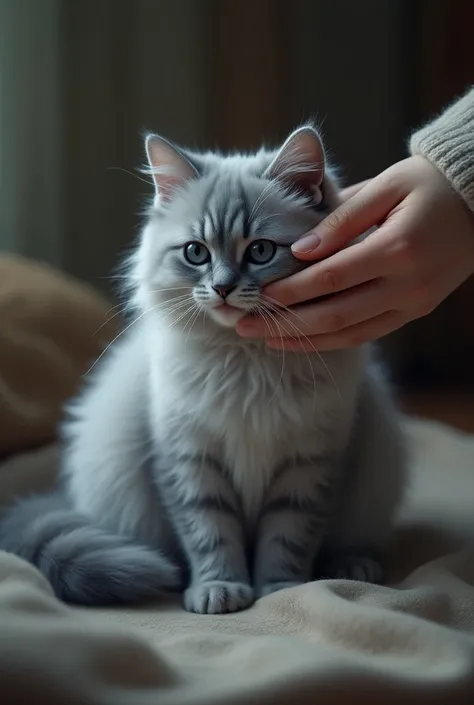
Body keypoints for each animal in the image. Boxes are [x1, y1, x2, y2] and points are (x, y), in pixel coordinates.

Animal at [0, 125, 408, 612]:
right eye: (196, 253)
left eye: (260, 251)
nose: (223, 288)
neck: (247, 359)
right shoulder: (190, 460)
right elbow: (211, 536)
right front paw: (220, 590)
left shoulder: (309, 462)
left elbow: (286, 540)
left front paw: (281, 590)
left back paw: (354, 566)